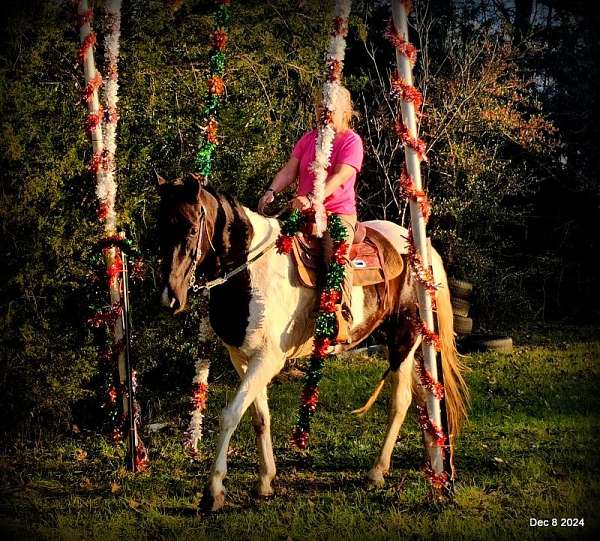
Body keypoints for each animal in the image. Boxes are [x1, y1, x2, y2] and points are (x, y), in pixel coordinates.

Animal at [158, 174, 468, 510]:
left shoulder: (267, 359)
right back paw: (435, 461)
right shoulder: (242, 358)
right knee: (424, 396)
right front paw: (265, 481)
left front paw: (213, 491)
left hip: (405, 337)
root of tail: (421, 250)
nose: (170, 298)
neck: (251, 273)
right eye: (159, 228)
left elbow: (230, 416)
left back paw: (377, 471)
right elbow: (259, 417)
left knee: (401, 402)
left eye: (191, 229)